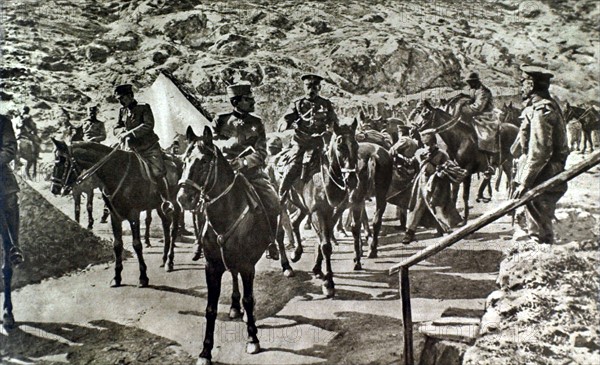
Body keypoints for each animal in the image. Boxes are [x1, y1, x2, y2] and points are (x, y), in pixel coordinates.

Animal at [50, 139, 180, 284]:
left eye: (62, 161)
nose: (54, 189)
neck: (117, 171)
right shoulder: (114, 216)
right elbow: (117, 245)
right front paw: (117, 277)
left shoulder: (133, 215)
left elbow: (137, 244)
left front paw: (143, 277)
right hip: (159, 207)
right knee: (166, 227)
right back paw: (164, 259)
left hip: (173, 203)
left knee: (173, 228)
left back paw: (170, 261)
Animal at [176, 124, 288, 362]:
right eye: (184, 160)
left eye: (204, 161)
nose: (183, 198)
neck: (226, 212)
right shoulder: (212, 267)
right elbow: (211, 308)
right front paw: (205, 352)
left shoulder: (247, 266)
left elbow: (249, 300)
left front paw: (253, 340)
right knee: (234, 276)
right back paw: (236, 308)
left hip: (279, 214)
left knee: (281, 237)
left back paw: (285, 265)